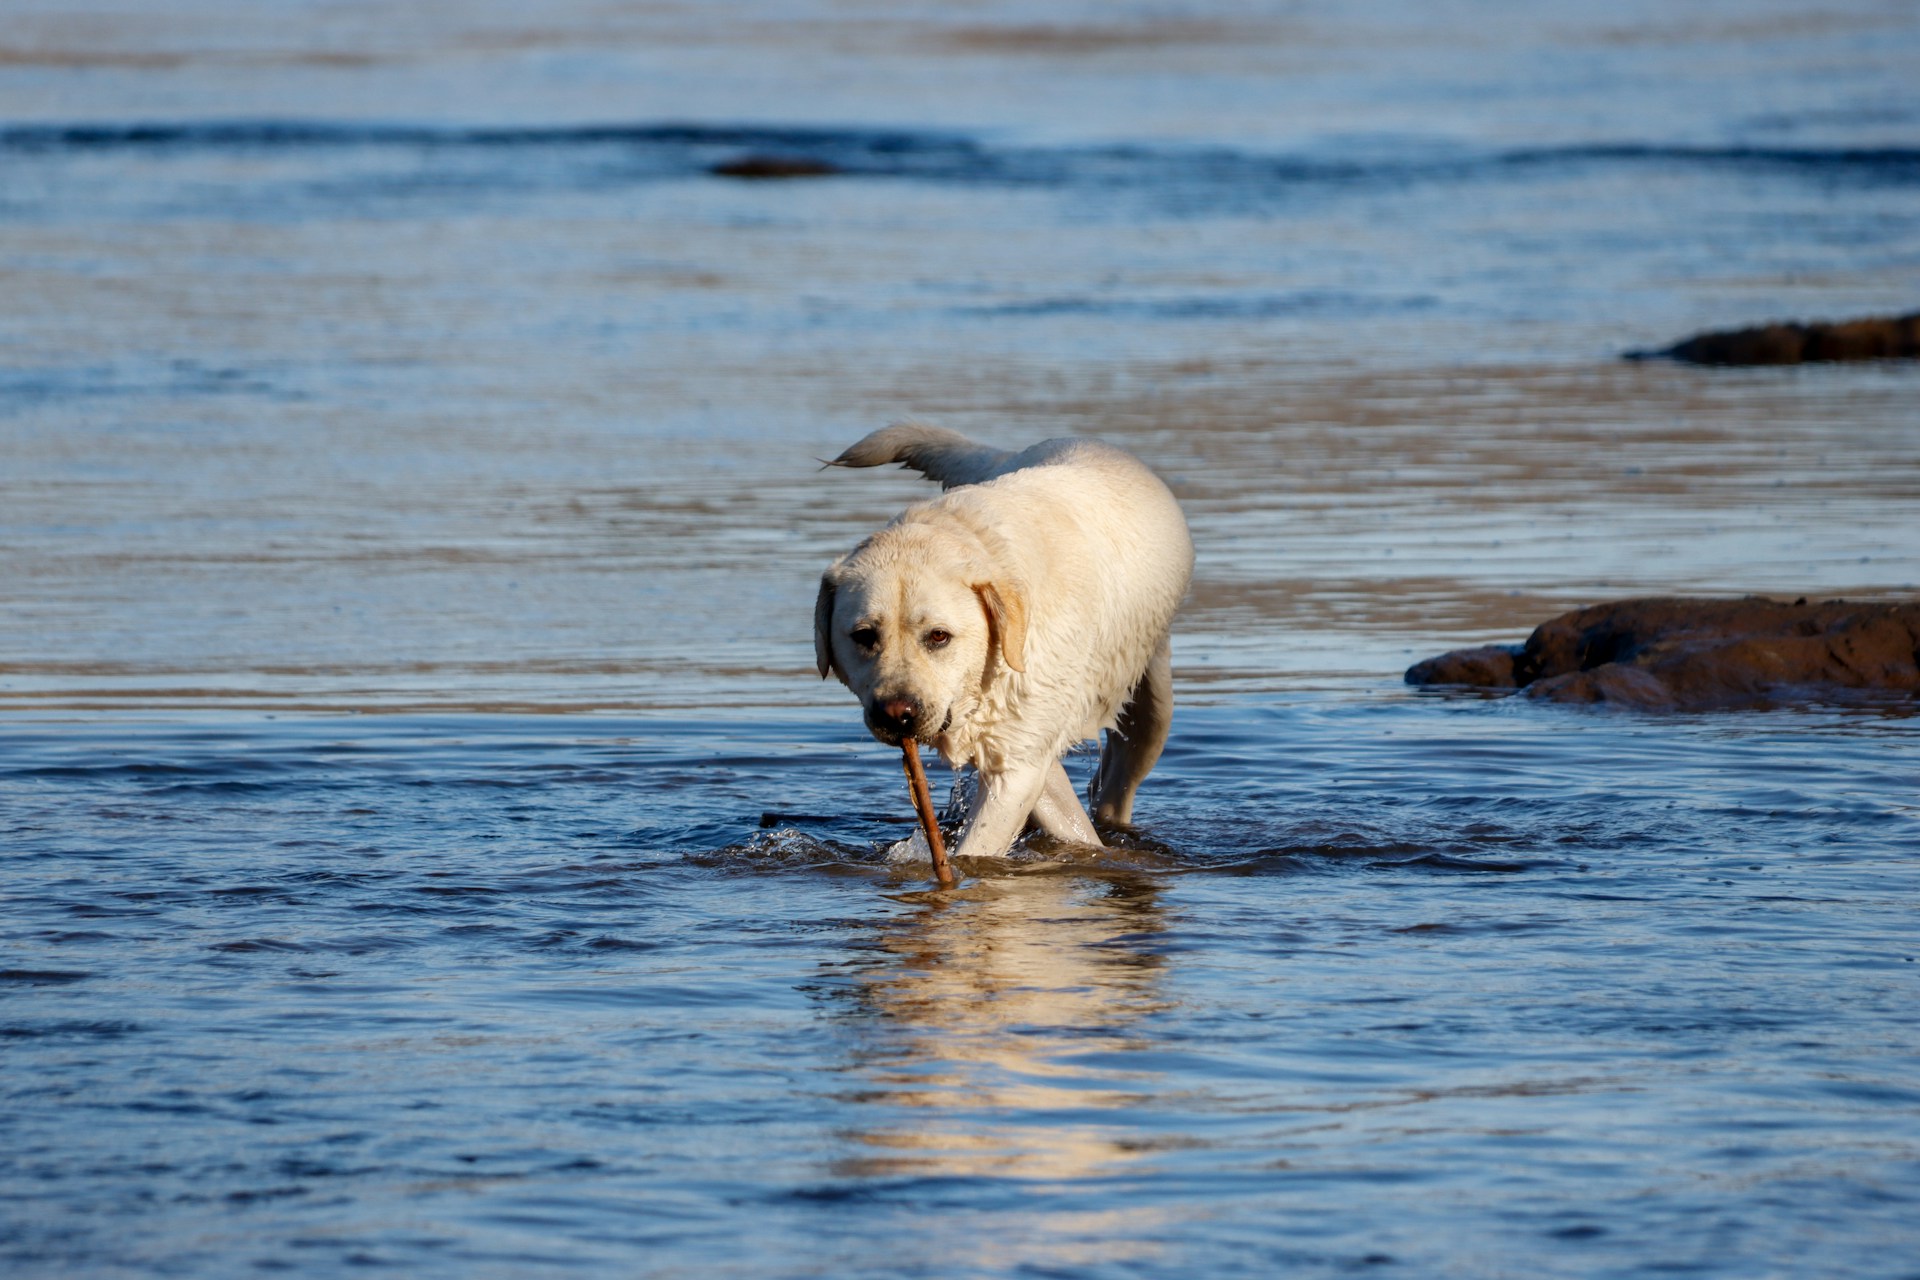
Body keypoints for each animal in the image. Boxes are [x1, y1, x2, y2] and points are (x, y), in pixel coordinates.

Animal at [817, 422, 1190, 859]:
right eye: (864, 636)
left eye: (939, 636)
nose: (897, 713)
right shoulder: (1024, 751)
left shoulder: (1020, 760)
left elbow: (979, 848)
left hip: (1152, 704)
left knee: (1118, 785)